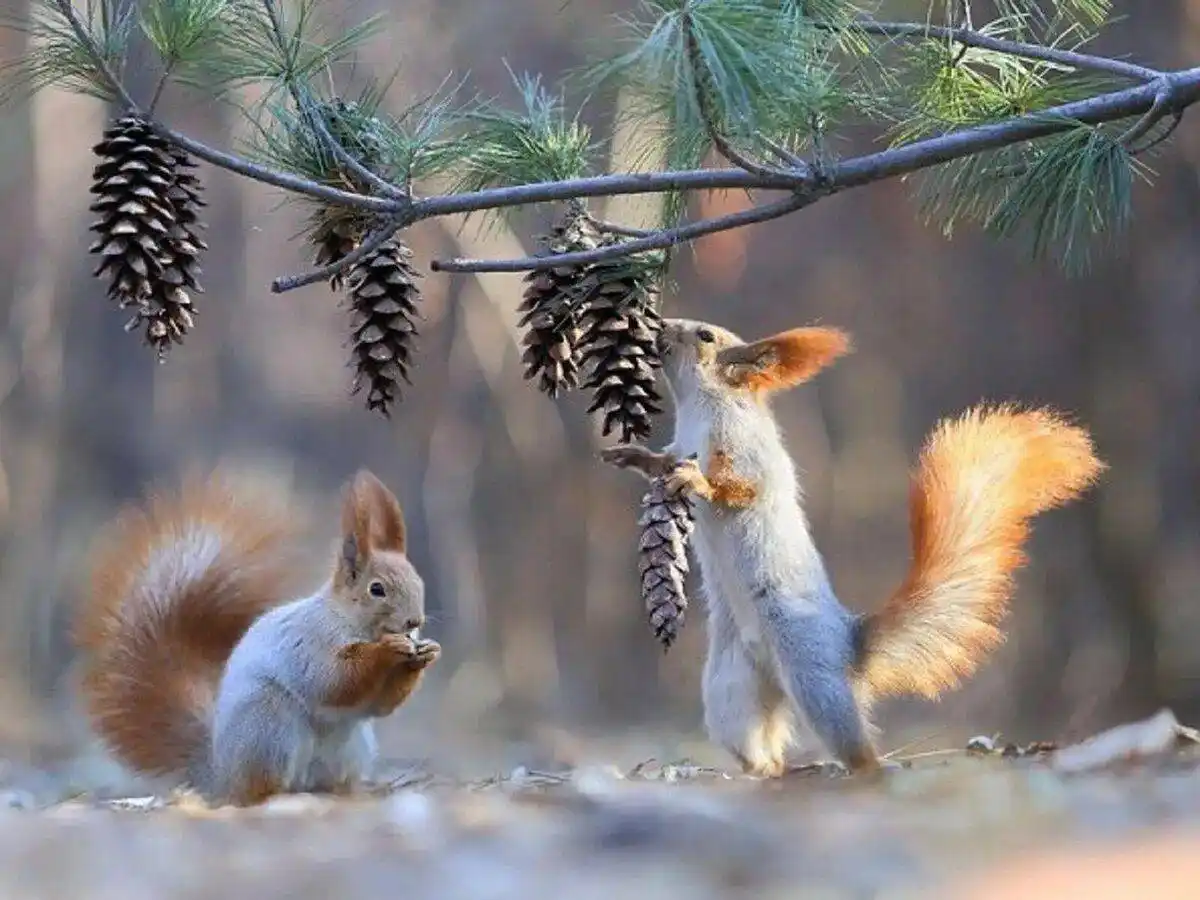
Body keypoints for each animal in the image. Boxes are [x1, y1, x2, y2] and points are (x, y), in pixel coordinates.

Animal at [73, 468, 441, 806]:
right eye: (376, 589)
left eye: (418, 580)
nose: (415, 621)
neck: (349, 619)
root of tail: (220, 772)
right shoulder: (308, 642)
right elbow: (334, 679)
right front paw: (388, 649)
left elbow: (379, 704)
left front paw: (426, 654)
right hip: (269, 727)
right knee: (258, 792)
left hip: (351, 748)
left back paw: (352, 791)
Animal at [601, 318, 1104, 776]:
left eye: (705, 335)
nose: (658, 326)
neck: (700, 408)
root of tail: (847, 645)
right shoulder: (679, 444)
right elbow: (662, 460)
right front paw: (632, 455)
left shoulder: (744, 449)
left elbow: (740, 487)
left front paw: (694, 480)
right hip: (730, 688)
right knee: (759, 748)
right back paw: (765, 773)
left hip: (815, 679)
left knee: (856, 748)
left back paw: (866, 771)